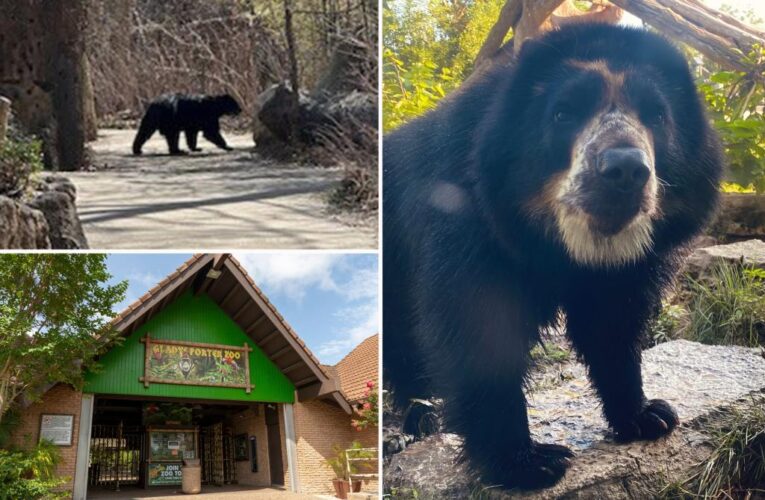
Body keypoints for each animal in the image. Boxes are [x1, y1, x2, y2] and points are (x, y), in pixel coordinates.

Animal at [382, 22, 724, 488]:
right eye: (563, 114)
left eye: (657, 116)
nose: (625, 171)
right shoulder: (466, 222)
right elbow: (480, 330)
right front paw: (529, 463)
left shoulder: (630, 265)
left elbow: (612, 325)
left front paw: (648, 416)